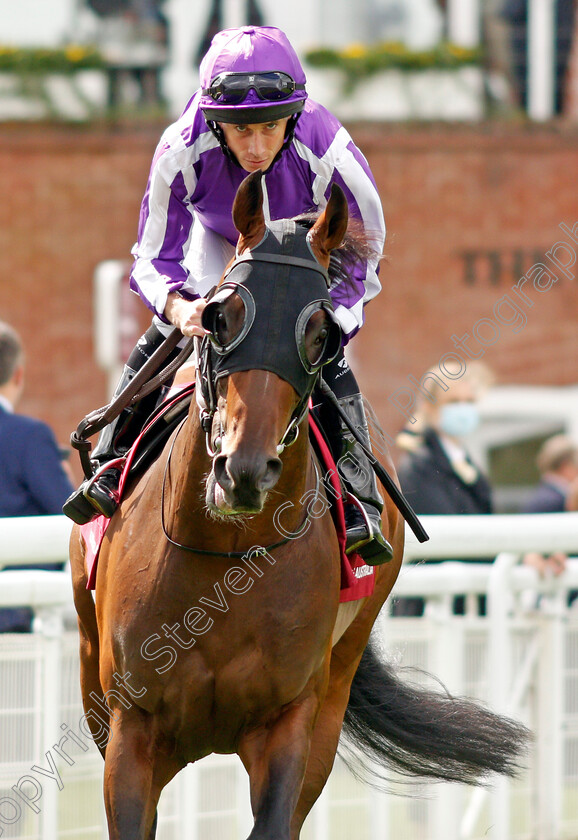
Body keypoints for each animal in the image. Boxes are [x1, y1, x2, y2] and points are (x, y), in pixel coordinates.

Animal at [68, 172, 528, 840]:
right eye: (220, 316)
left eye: (320, 334)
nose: (244, 469)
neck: (225, 559)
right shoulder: (133, 725)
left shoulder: (289, 720)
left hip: (337, 684)